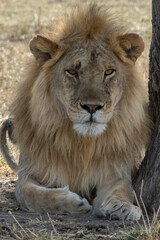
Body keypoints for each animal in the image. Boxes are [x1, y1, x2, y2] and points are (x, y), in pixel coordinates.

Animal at [0, 4, 152, 221]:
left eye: (109, 72)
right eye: (72, 71)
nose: (92, 107)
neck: (82, 143)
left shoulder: (115, 171)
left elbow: (121, 189)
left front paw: (122, 207)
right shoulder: (29, 173)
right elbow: (34, 195)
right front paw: (74, 203)